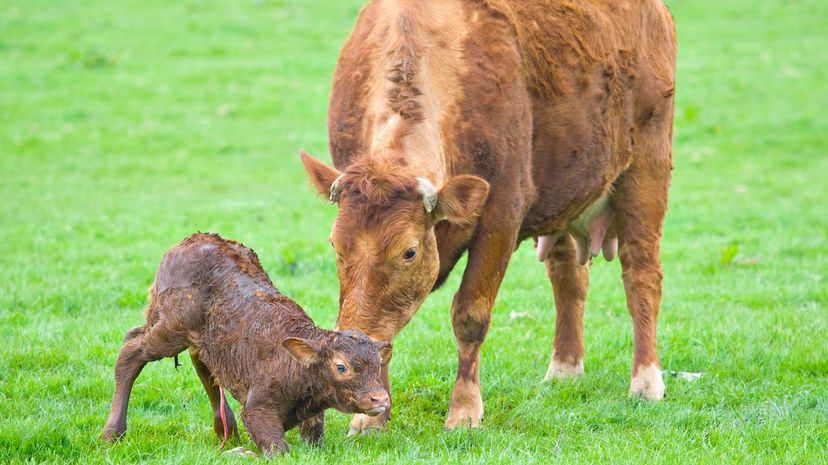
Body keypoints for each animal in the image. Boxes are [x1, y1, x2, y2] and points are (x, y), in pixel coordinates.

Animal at [100, 232, 392, 454]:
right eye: (341, 367)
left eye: (377, 364)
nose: (380, 398)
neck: (294, 365)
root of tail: (185, 243)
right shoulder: (257, 408)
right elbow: (278, 448)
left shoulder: (311, 414)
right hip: (171, 329)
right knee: (131, 350)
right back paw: (112, 433)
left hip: (197, 337)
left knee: (203, 366)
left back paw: (227, 434)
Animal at [300, 0, 676, 432]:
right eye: (335, 244)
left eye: (409, 252)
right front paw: (370, 416)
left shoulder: (502, 214)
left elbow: (470, 314)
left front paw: (464, 409)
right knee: (569, 277)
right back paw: (564, 368)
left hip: (647, 168)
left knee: (641, 275)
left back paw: (646, 380)